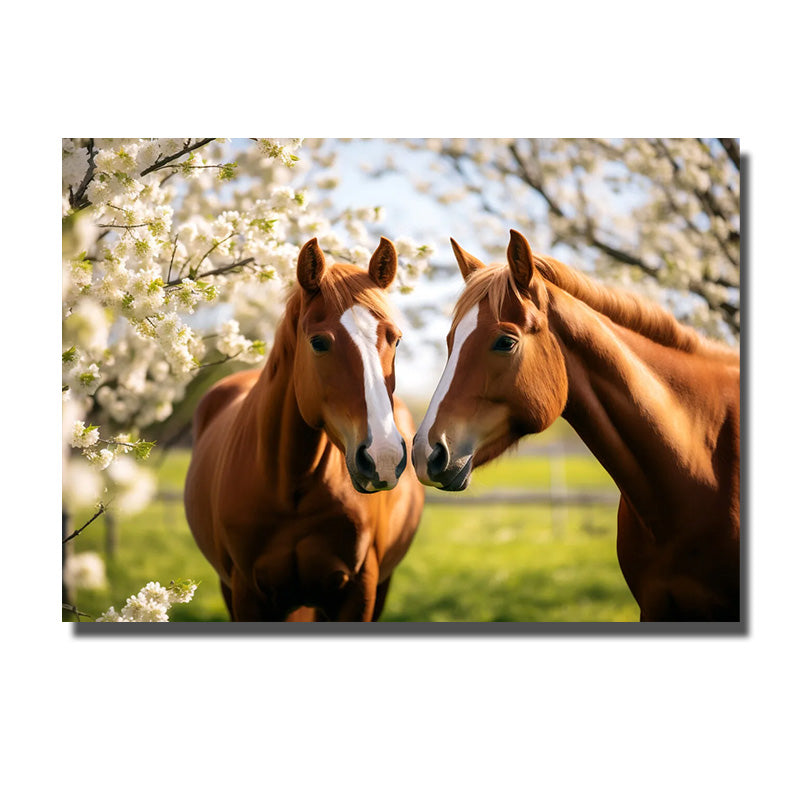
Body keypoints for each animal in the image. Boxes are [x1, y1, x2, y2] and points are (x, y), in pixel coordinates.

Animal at [184, 237, 424, 621]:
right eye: (319, 342)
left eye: (396, 339)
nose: (383, 457)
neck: (290, 486)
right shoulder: (246, 592)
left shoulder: (361, 590)